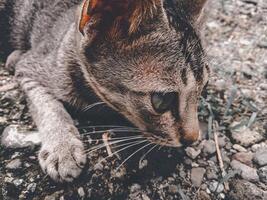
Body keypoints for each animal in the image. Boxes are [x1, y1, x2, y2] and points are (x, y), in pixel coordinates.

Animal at [0, 0, 209, 182]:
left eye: (203, 87)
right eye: (162, 100)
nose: (193, 139)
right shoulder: (29, 67)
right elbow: (48, 107)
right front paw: (62, 147)